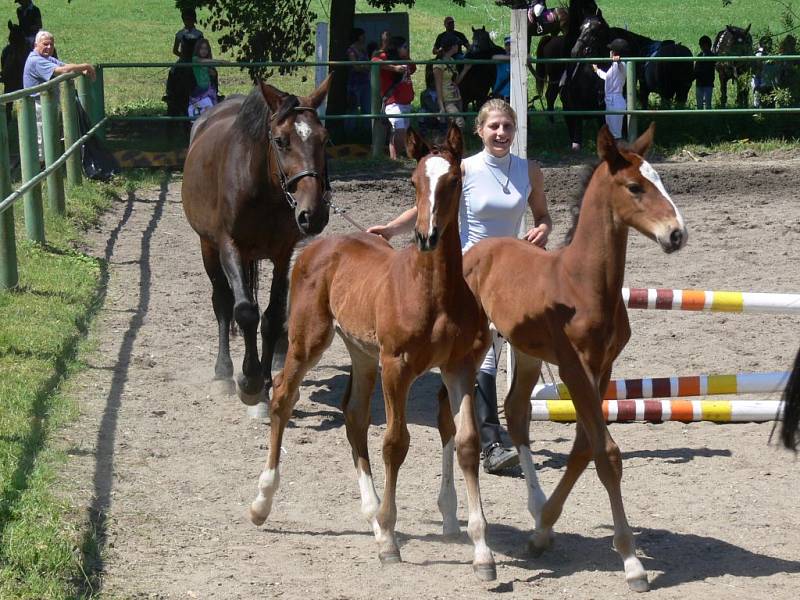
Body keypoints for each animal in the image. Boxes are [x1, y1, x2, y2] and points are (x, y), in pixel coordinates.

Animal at [181, 76, 332, 408]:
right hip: (208, 248)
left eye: (324, 139)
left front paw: (264, 381)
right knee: (223, 303)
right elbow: (245, 312)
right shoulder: (230, 247)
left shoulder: (282, 253)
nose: (313, 214)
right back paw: (223, 371)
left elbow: (272, 316)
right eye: (280, 140)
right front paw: (249, 381)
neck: (261, 188)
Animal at [252, 125, 500, 580]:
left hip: (362, 354)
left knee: (353, 415)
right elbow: (395, 443)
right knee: (282, 396)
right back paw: (262, 503)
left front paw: (481, 551)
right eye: (414, 182)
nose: (426, 236)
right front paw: (388, 538)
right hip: (309, 341)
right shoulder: (396, 367)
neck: (435, 294)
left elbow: (466, 443)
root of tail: (317, 247)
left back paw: (369, 513)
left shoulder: (459, 368)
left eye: (454, 180)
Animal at [440, 123, 684, 592]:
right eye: (635, 187)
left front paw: (543, 529)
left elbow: (583, 449)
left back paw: (533, 507)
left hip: (525, 352)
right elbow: (606, 454)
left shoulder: (603, 368)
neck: (583, 284)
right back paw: (450, 516)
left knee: (516, 412)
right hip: (473, 350)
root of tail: (473, 253)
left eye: (660, 179)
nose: (676, 234)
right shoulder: (574, 367)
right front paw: (632, 562)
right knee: (450, 417)